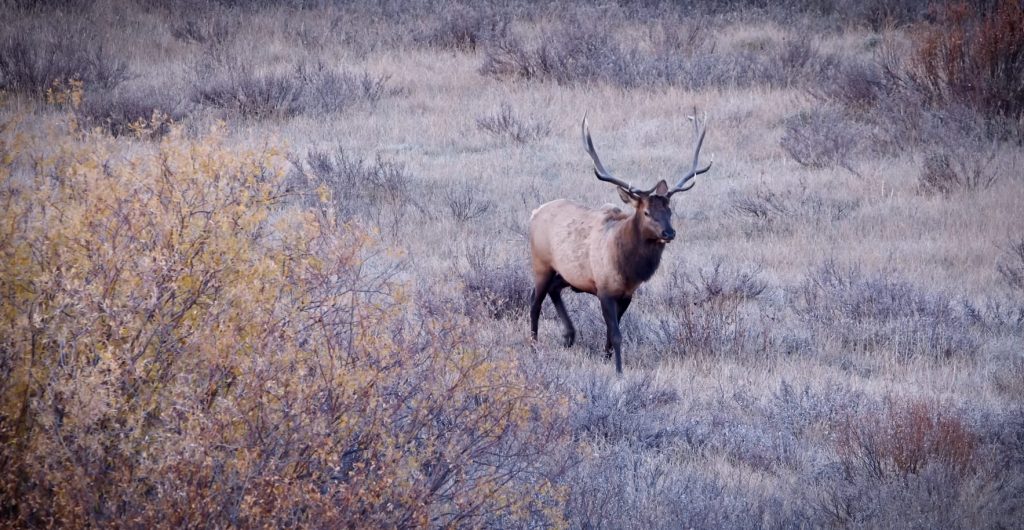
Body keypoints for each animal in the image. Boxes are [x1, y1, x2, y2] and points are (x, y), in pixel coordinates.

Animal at [529, 112, 711, 373]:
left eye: (669, 210)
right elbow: (616, 334)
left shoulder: (627, 294)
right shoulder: (605, 289)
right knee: (534, 303)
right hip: (541, 264)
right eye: (646, 212)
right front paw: (618, 370)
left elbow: (609, 332)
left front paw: (606, 359)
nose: (669, 232)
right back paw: (534, 346)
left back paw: (569, 336)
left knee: (554, 290)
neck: (628, 268)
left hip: (568, 273)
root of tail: (535, 212)